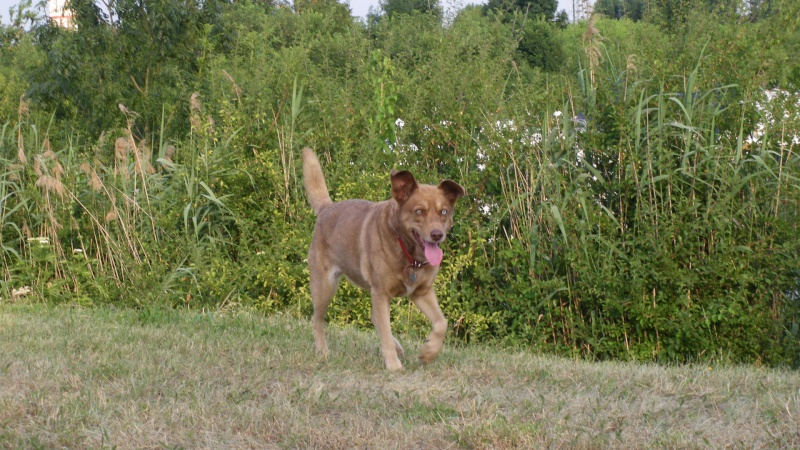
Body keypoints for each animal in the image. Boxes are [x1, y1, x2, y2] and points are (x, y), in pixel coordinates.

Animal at [300, 149, 466, 370]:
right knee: (317, 320)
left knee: (375, 318)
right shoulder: (381, 292)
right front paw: (393, 365)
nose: (437, 234)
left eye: (444, 211)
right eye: (419, 211)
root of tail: (327, 208)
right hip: (324, 287)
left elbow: (441, 323)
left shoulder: (421, 292)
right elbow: (385, 332)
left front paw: (429, 352)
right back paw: (323, 351)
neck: (409, 255)